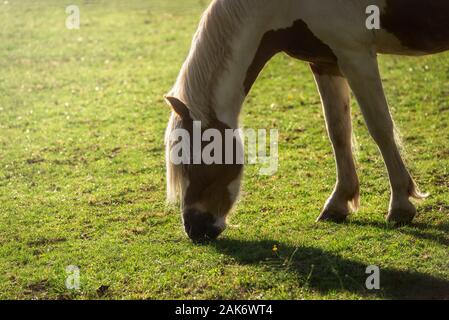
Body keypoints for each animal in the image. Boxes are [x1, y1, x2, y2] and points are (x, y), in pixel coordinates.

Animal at [164, 0, 448, 240]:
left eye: (196, 160)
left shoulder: (356, 55)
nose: (194, 229)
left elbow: (380, 127)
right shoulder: (325, 62)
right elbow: (338, 131)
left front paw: (400, 205)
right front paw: (338, 203)